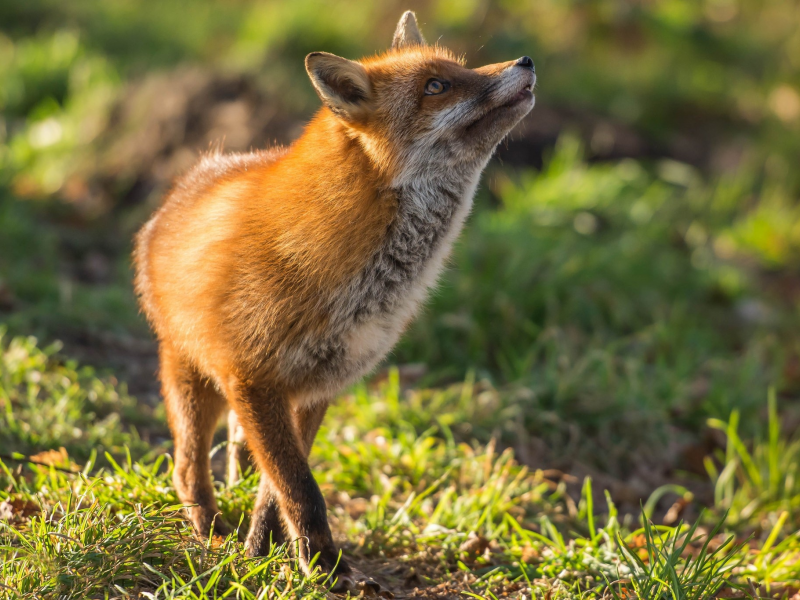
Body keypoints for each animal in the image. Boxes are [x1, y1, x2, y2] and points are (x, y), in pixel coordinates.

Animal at [134, 11, 536, 592]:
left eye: (459, 69)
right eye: (436, 87)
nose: (525, 61)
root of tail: (185, 183)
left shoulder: (317, 386)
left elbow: (277, 490)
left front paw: (269, 553)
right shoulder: (254, 379)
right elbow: (300, 488)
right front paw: (319, 566)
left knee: (237, 454)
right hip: (191, 374)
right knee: (187, 468)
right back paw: (208, 535)